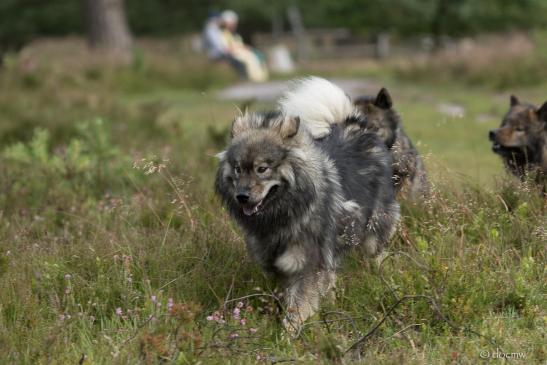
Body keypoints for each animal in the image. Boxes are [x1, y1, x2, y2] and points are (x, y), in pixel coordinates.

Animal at [216, 78, 400, 328]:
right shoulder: (279, 265)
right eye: (237, 169)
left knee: (378, 257)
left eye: (262, 169)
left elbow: (297, 307)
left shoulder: (307, 265)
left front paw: (288, 333)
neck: (284, 214)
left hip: (372, 235)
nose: (242, 196)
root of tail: (358, 127)